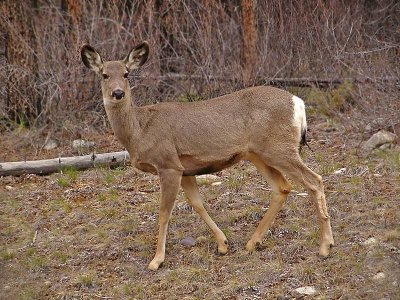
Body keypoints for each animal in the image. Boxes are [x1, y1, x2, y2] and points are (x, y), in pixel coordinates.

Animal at [81, 41, 334, 270]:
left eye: (126, 74)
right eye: (104, 75)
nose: (118, 93)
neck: (140, 131)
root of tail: (298, 103)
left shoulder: (168, 164)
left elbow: (164, 213)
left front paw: (156, 260)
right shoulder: (185, 169)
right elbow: (197, 204)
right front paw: (223, 244)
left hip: (279, 148)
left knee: (314, 180)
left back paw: (325, 246)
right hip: (258, 154)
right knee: (282, 187)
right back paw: (252, 243)